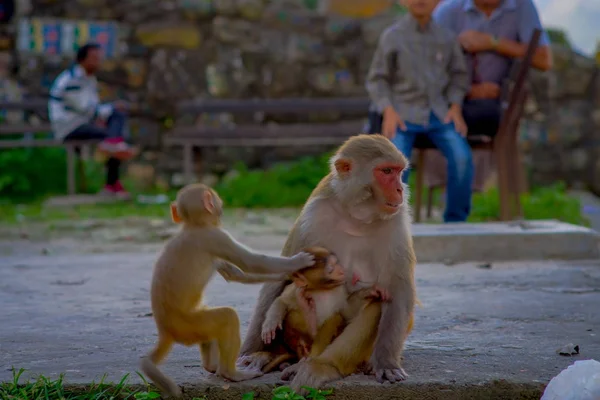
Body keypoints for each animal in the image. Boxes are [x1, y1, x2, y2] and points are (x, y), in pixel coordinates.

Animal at [140, 184, 316, 396]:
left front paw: (286, 274)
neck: (193, 226)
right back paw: (230, 372)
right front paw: (297, 262)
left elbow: (235, 274)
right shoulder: (217, 237)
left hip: (193, 326)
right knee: (227, 317)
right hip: (188, 324)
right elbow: (251, 262)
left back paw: (212, 366)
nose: (221, 204)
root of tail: (165, 330)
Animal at [239, 134, 418, 390]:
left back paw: (320, 367)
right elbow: (283, 273)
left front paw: (386, 363)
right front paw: (252, 351)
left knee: (375, 303)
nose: (400, 189)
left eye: (399, 172)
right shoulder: (314, 213)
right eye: (386, 171)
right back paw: (273, 357)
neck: (357, 215)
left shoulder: (397, 220)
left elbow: (397, 288)